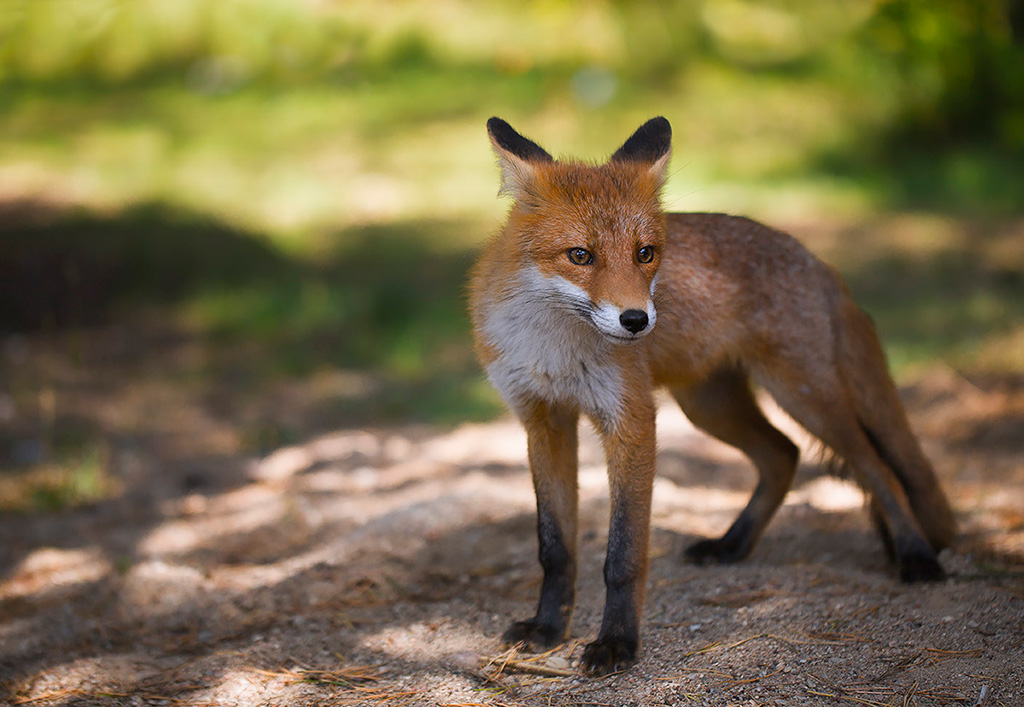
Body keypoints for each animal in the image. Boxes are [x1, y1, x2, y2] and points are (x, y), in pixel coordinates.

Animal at [468, 115, 954, 672]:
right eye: (580, 256)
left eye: (645, 254)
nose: (637, 321)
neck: (553, 350)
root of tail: (816, 261)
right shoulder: (543, 420)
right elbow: (555, 549)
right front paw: (548, 628)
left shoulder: (631, 419)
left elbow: (623, 555)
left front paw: (617, 642)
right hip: (710, 407)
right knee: (783, 454)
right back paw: (731, 545)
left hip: (806, 398)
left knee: (876, 469)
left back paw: (917, 556)